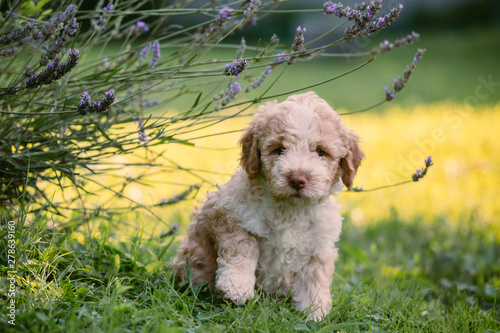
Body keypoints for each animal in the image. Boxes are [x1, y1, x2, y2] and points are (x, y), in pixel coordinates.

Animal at [174, 91, 366, 320]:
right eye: (279, 149)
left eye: (321, 152)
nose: (297, 179)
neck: (289, 209)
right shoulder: (230, 215)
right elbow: (243, 249)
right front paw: (237, 286)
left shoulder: (318, 248)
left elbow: (314, 280)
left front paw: (315, 312)